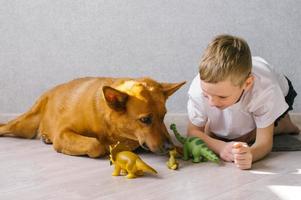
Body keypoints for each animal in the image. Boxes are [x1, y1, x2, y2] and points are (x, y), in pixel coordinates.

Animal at [0, 77, 184, 157]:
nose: (168, 147)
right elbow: (95, 145)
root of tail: (50, 91)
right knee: (5, 127)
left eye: (163, 116)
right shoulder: (63, 133)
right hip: (23, 125)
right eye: (145, 120)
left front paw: (180, 149)